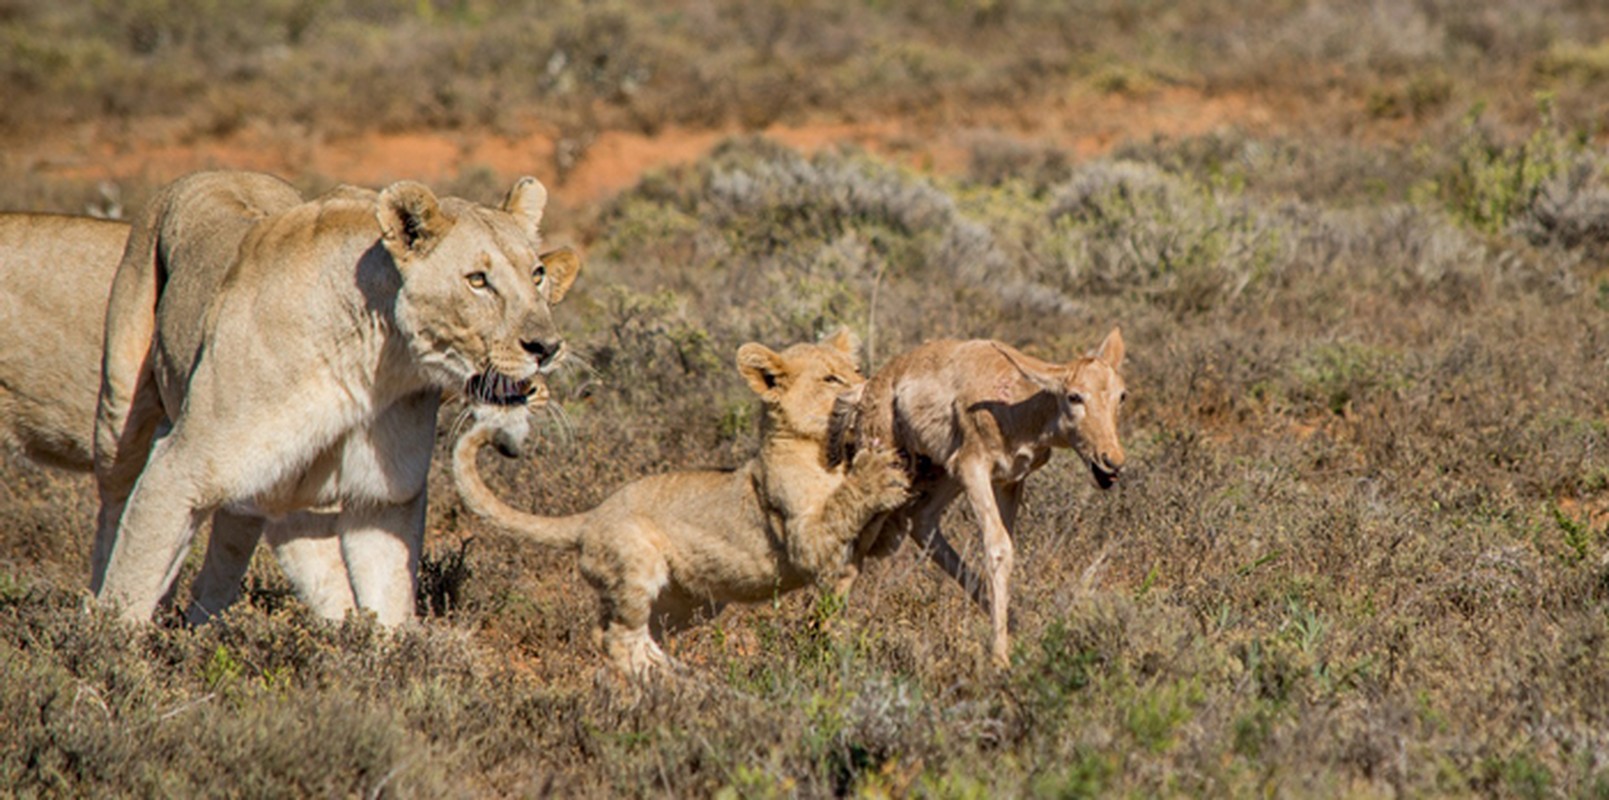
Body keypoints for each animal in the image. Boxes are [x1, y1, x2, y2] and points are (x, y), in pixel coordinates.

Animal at [94, 171, 585, 627]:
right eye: (478, 281)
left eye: (537, 275)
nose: (546, 348)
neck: (376, 360)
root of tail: (213, 172)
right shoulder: (179, 469)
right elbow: (131, 586)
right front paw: (107, 648)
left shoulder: (380, 496)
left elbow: (388, 600)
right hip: (121, 412)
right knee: (114, 509)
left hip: (277, 493)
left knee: (233, 551)